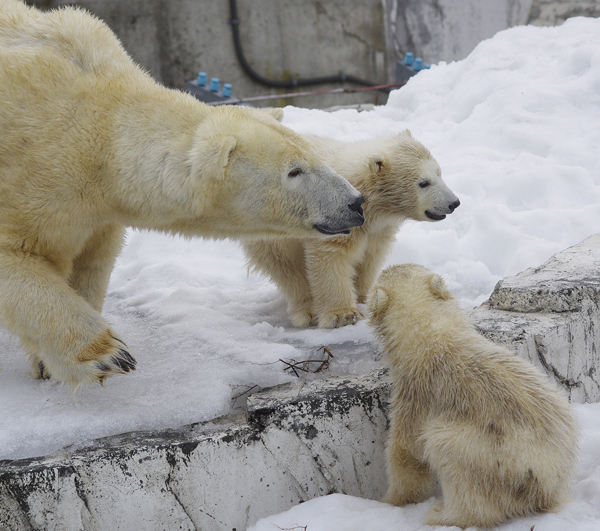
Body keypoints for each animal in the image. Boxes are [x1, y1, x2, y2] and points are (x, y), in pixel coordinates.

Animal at [0, 0, 364, 386]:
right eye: (294, 171)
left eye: (313, 154)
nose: (355, 203)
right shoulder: (32, 175)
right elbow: (20, 259)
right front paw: (108, 354)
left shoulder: (97, 208)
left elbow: (92, 261)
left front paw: (48, 362)